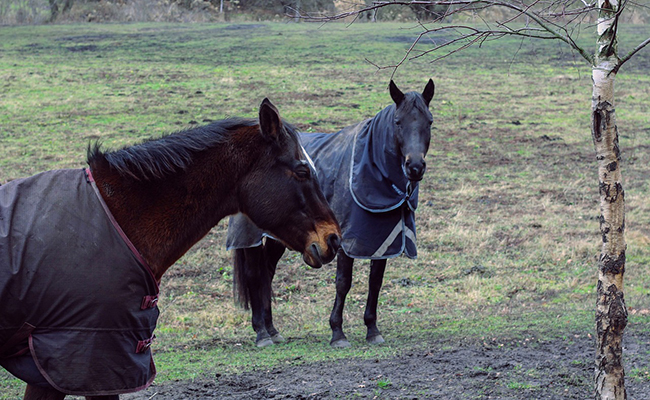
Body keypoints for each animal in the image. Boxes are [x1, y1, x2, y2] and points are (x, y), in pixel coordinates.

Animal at [225, 80, 432, 346]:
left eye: (429, 121)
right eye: (398, 122)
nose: (415, 166)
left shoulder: (382, 239)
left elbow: (375, 282)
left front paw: (372, 329)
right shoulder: (345, 239)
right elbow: (343, 282)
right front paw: (337, 332)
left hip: (280, 236)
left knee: (267, 273)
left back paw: (272, 329)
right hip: (250, 234)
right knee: (254, 275)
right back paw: (261, 332)